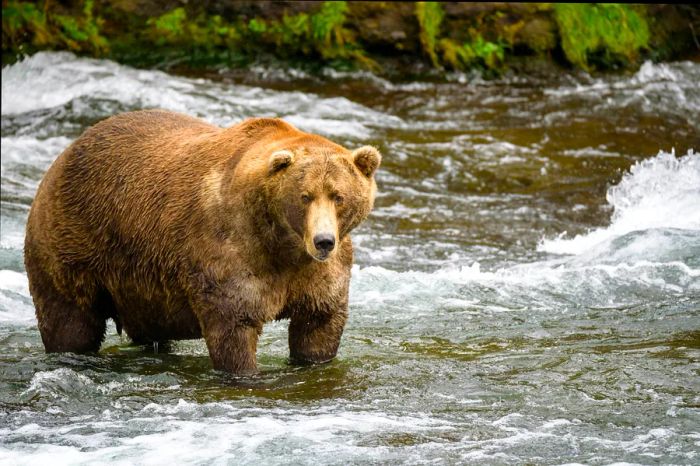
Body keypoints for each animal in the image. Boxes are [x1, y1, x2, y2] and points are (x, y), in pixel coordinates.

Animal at [24, 109, 380, 374]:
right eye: (305, 196)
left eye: (338, 196)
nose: (323, 241)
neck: (281, 244)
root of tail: (64, 155)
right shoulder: (231, 251)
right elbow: (233, 326)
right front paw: (244, 371)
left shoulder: (319, 274)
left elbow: (319, 325)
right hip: (73, 244)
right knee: (70, 320)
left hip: (139, 286)